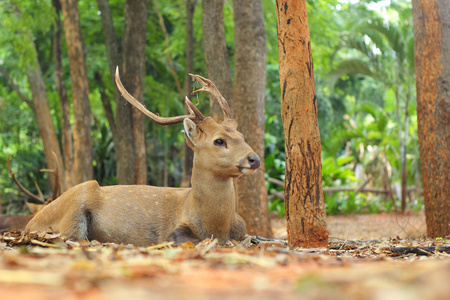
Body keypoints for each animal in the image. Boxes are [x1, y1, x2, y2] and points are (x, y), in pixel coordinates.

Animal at [23, 69, 260, 247]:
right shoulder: (172, 232)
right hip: (76, 202)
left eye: (242, 136)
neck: (217, 226)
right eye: (219, 141)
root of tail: (28, 225)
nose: (255, 159)